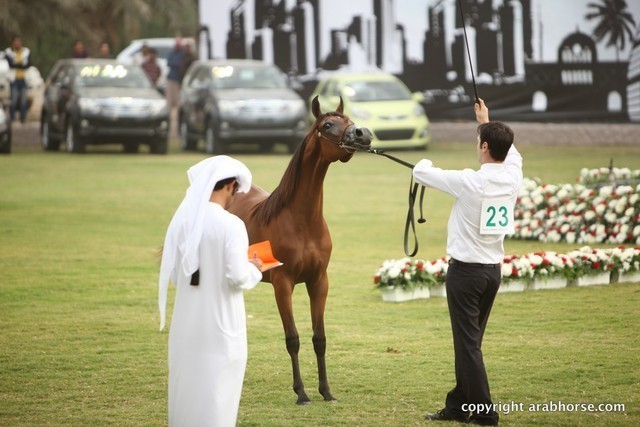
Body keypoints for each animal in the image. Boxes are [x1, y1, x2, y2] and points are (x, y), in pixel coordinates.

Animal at [228, 96, 372, 404]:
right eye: (327, 125)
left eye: (349, 120)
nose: (362, 134)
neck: (301, 221)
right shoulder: (283, 284)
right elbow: (292, 338)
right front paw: (302, 393)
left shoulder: (319, 281)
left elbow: (320, 338)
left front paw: (326, 391)